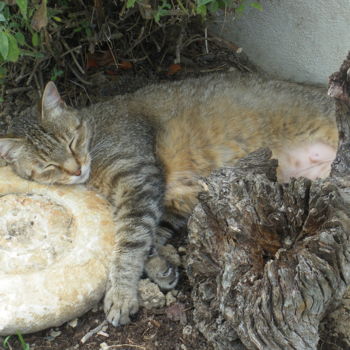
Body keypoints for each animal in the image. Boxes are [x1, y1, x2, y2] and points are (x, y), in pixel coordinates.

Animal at [0, 70, 338, 326]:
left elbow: (130, 245)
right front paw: (160, 270)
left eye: (71, 141)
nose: (76, 169)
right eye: (48, 165)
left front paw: (121, 293)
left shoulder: (140, 181)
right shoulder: (166, 201)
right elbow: (148, 239)